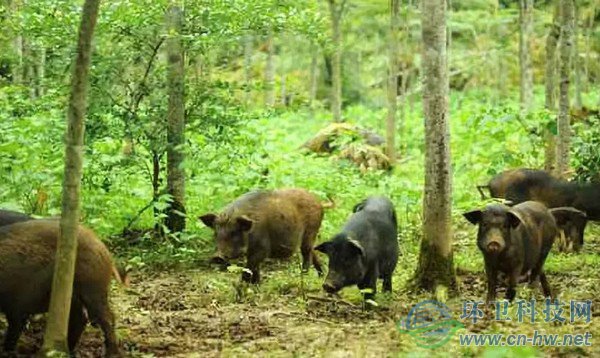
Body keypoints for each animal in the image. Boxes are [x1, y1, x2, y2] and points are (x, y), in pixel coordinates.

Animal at [0, 220, 123, 356]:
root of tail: (103, 247)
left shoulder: (16, 304)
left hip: (93, 288)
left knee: (107, 317)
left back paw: (111, 353)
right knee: (81, 318)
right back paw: (69, 349)